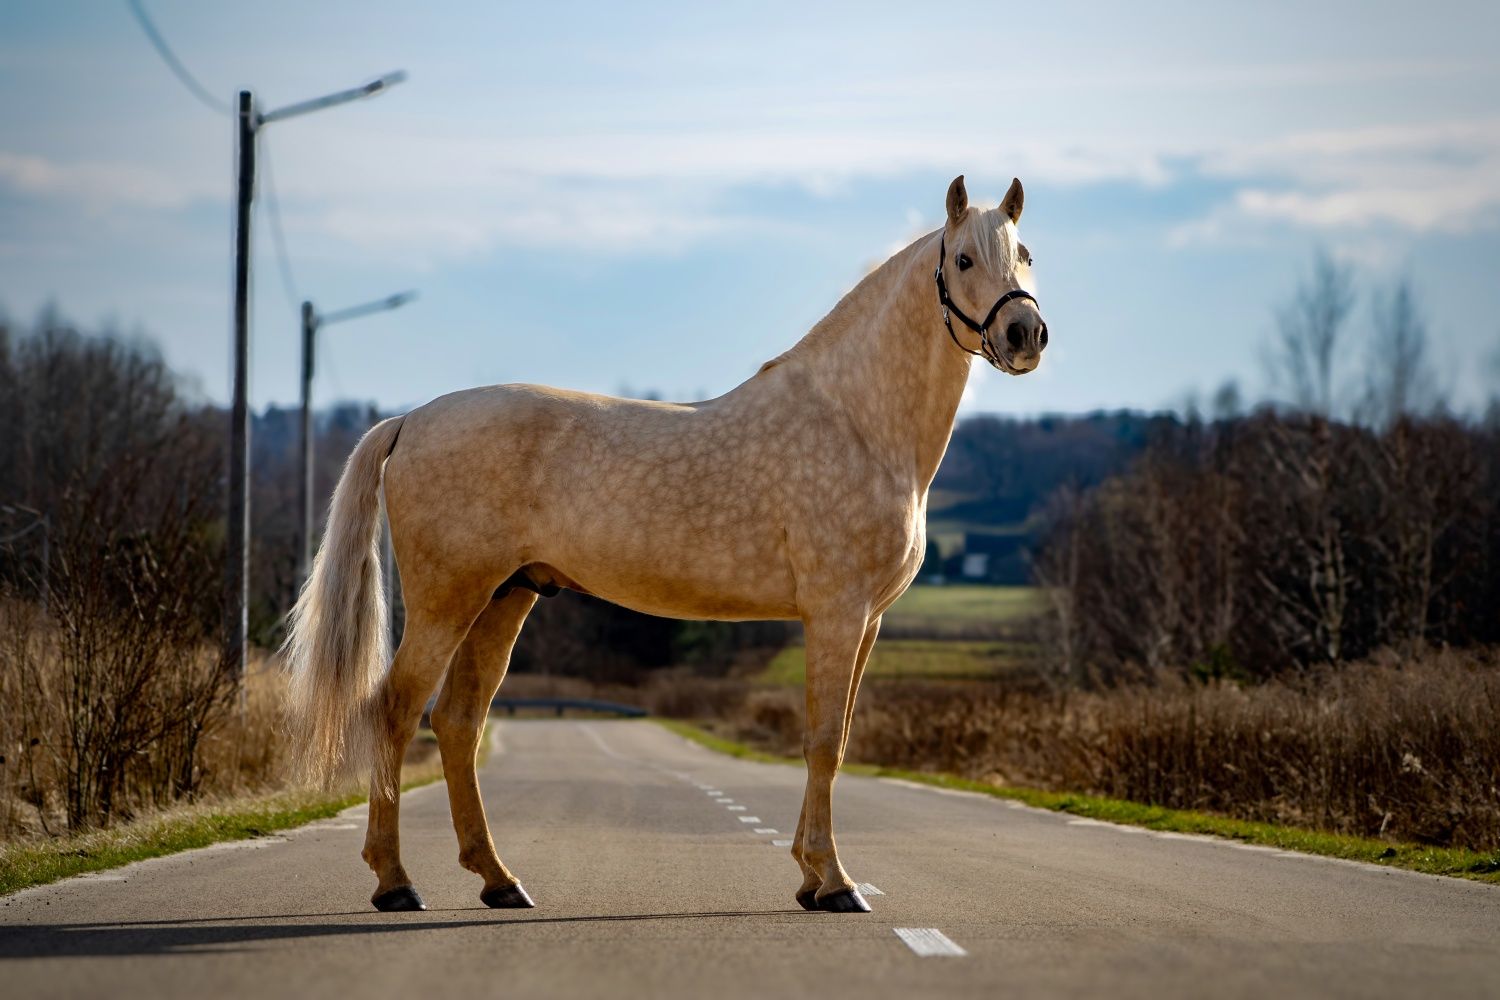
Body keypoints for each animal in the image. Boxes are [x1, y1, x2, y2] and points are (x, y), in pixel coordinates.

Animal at [286, 173, 1050, 917]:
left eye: (1026, 254)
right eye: (963, 259)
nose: (1025, 333)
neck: (856, 422)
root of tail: (411, 419)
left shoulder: (870, 620)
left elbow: (834, 741)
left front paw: (810, 878)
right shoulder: (838, 613)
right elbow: (823, 743)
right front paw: (834, 883)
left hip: (504, 598)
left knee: (457, 722)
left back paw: (499, 880)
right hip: (448, 601)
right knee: (395, 710)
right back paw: (395, 883)